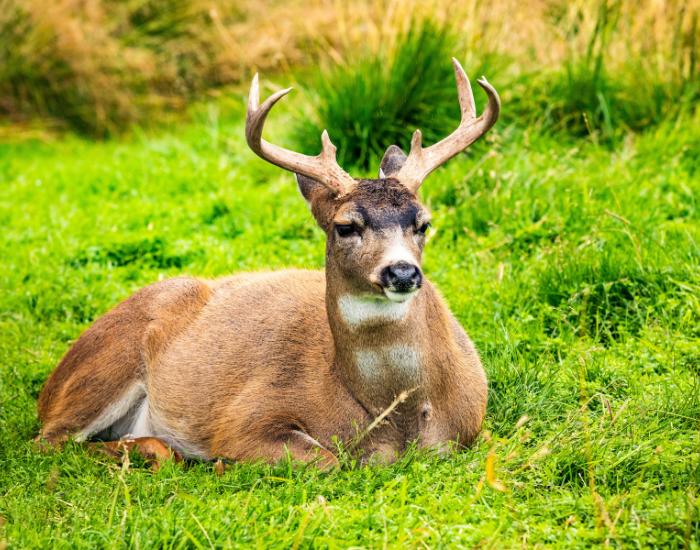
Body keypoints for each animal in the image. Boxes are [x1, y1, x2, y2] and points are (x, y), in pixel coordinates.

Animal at [35, 58, 500, 470]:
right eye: (345, 226)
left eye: (424, 222)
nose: (402, 272)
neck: (398, 419)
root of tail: (47, 390)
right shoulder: (243, 418)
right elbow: (326, 459)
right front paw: (220, 463)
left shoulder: (475, 427)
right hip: (104, 367)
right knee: (51, 441)